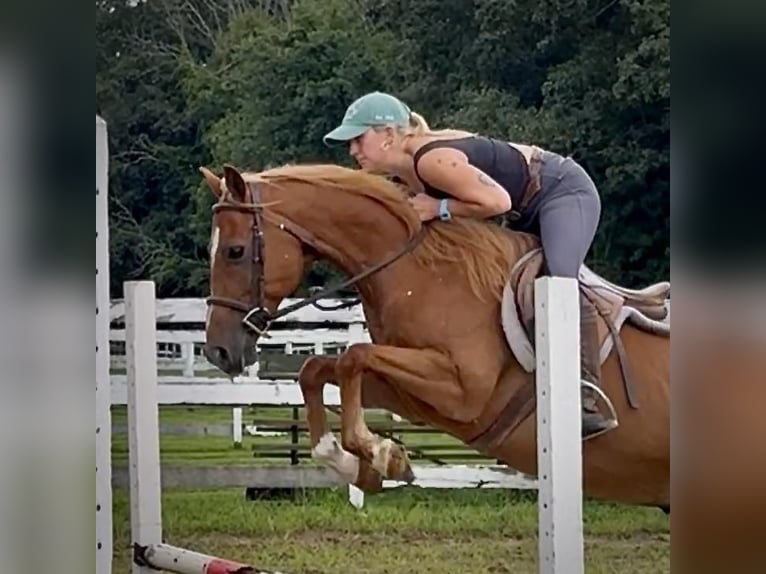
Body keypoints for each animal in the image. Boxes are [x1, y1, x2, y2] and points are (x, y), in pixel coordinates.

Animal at [202, 161, 672, 508]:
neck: (421, 273)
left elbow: (353, 355)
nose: (218, 351)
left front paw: (381, 454)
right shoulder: (414, 397)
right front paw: (357, 464)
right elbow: (318, 368)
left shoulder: (463, 390)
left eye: (235, 251)